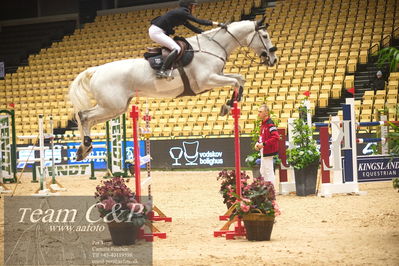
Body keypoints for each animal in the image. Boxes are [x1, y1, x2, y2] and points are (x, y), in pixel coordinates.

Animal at [69, 18, 278, 162]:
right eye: (265, 36)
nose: (273, 60)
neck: (213, 46)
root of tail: (96, 70)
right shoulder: (207, 80)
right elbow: (235, 81)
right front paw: (228, 106)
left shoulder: (217, 75)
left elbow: (239, 79)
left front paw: (230, 104)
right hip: (112, 106)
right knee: (84, 116)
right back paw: (85, 146)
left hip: (115, 108)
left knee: (88, 119)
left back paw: (83, 150)